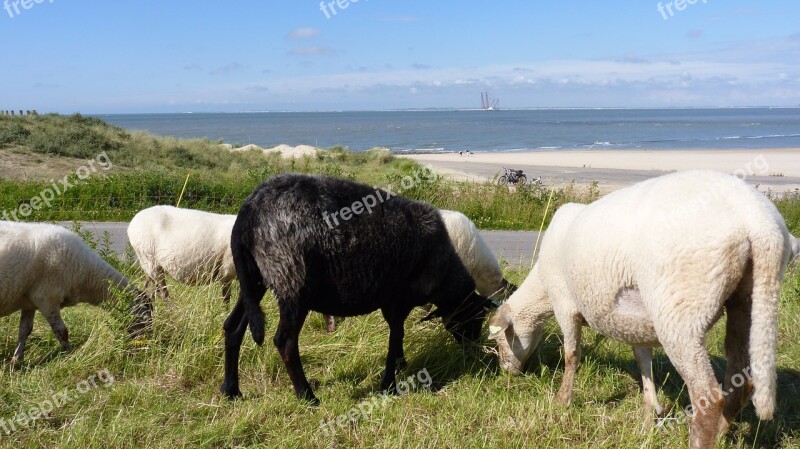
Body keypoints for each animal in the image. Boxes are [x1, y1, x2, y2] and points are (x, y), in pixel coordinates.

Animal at [0, 220, 155, 364]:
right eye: (146, 317)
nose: (146, 344)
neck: (86, 275)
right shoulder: (47, 298)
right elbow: (62, 331)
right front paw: (69, 355)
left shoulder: (29, 301)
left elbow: (24, 331)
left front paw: (16, 360)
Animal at [219, 173, 494, 400]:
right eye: (476, 316)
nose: (473, 350)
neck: (444, 270)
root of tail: (249, 211)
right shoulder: (398, 300)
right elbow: (396, 336)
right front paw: (389, 385)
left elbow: (398, 337)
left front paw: (401, 364)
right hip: (292, 281)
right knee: (285, 341)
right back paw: (307, 396)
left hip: (254, 278)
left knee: (233, 326)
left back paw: (231, 390)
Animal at [488, 171, 792, 448]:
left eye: (501, 341)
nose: (507, 373)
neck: (541, 288)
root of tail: (759, 222)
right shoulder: (635, 320)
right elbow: (642, 359)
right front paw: (650, 413)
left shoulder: (565, 304)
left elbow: (572, 355)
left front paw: (563, 400)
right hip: (748, 300)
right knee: (742, 380)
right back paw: (720, 431)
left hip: (680, 311)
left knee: (707, 395)